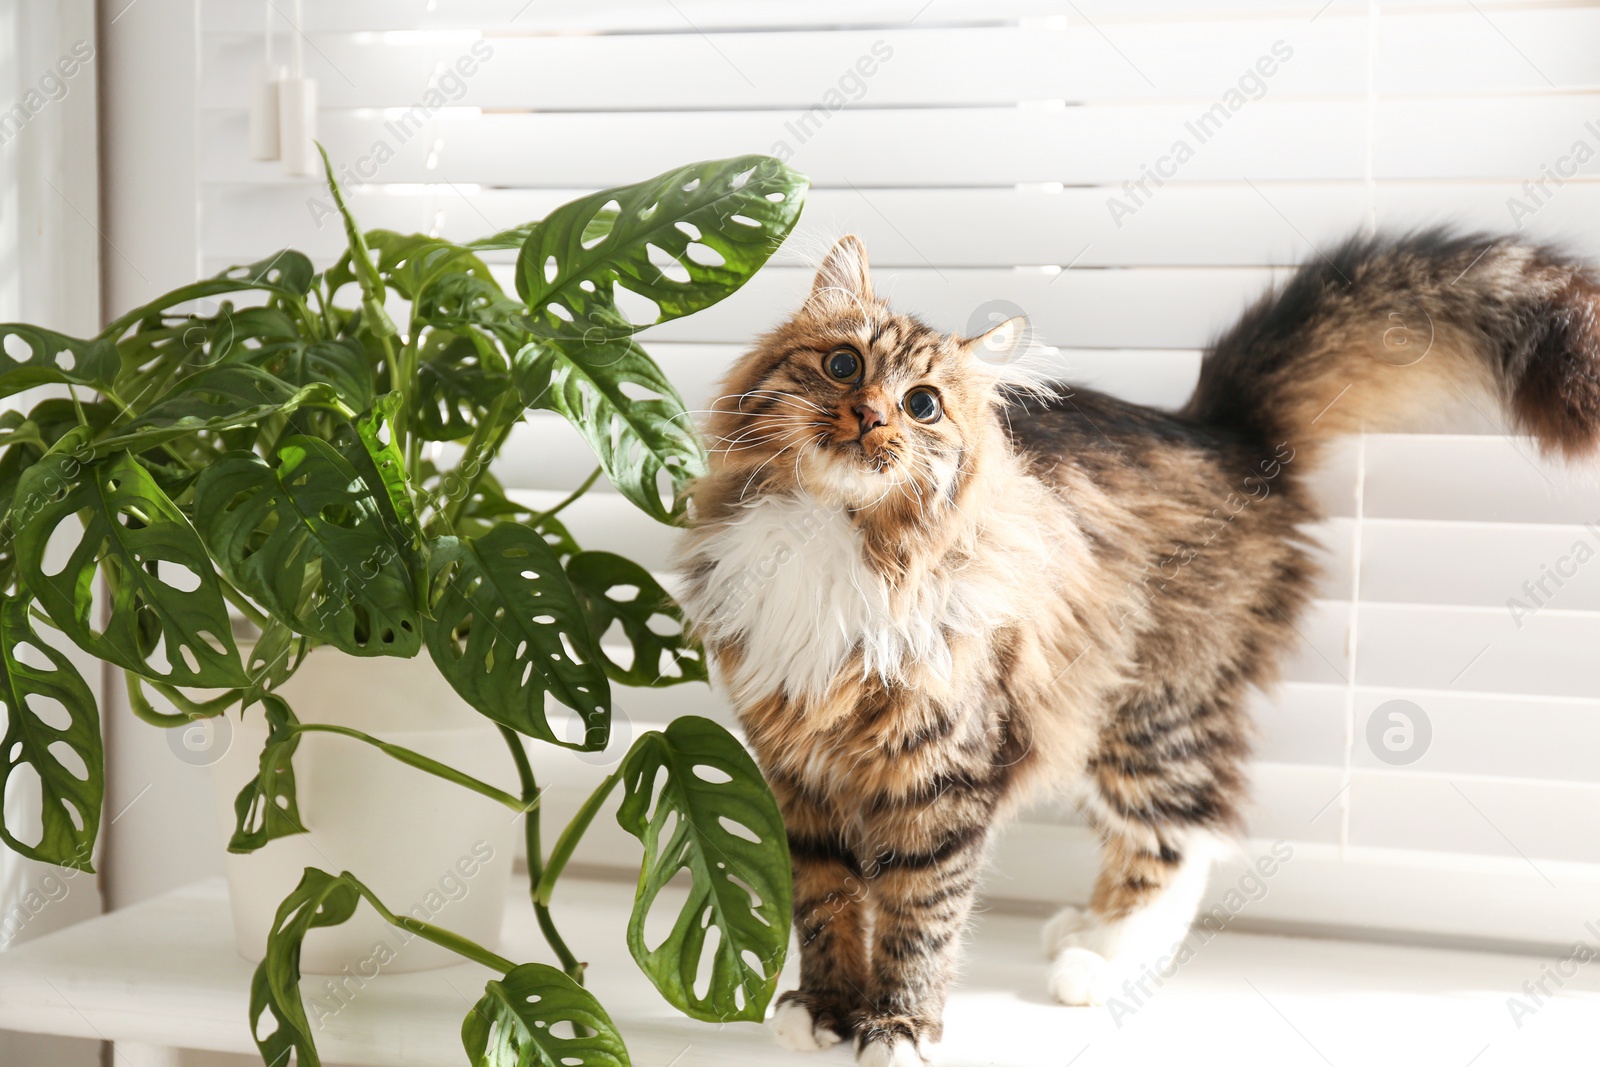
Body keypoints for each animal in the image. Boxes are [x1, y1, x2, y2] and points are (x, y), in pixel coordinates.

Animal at [668, 230, 1593, 1062]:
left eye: (923, 404)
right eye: (843, 366)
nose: (868, 416)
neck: (836, 536)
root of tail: (1222, 430)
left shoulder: (946, 769)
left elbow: (920, 912)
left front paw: (898, 1026)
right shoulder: (796, 768)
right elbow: (825, 900)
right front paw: (825, 1010)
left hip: (1149, 711)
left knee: (1183, 843)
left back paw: (1103, 962)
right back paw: (1086, 927)